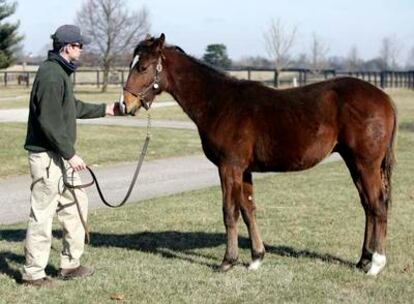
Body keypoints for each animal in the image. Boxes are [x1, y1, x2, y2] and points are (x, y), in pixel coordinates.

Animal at [122, 33, 398, 276]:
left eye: (143, 67)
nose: (124, 104)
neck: (220, 103)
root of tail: (384, 98)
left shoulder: (229, 167)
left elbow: (229, 211)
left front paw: (228, 261)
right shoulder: (244, 170)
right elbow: (248, 209)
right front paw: (256, 258)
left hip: (366, 164)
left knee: (378, 204)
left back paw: (376, 264)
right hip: (354, 163)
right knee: (368, 205)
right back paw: (363, 260)